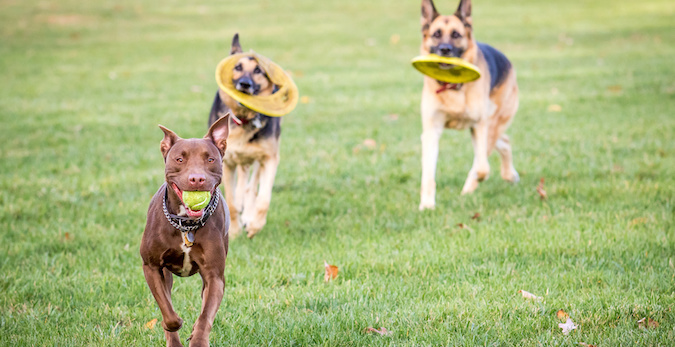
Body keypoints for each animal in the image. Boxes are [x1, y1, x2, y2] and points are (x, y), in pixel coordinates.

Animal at [139, 115, 230, 347]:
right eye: (180, 159)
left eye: (210, 159)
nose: (196, 179)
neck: (186, 224)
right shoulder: (152, 267)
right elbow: (167, 311)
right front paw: (175, 324)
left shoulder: (215, 276)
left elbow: (206, 315)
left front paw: (197, 338)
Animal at [418, 0, 524, 211]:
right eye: (436, 34)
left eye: (456, 35)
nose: (444, 50)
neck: (452, 87)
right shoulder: (431, 133)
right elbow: (428, 175)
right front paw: (426, 204)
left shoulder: (479, 126)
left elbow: (482, 168)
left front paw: (467, 189)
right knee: (504, 141)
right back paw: (510, 175)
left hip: (492, 123)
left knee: (491, 151)